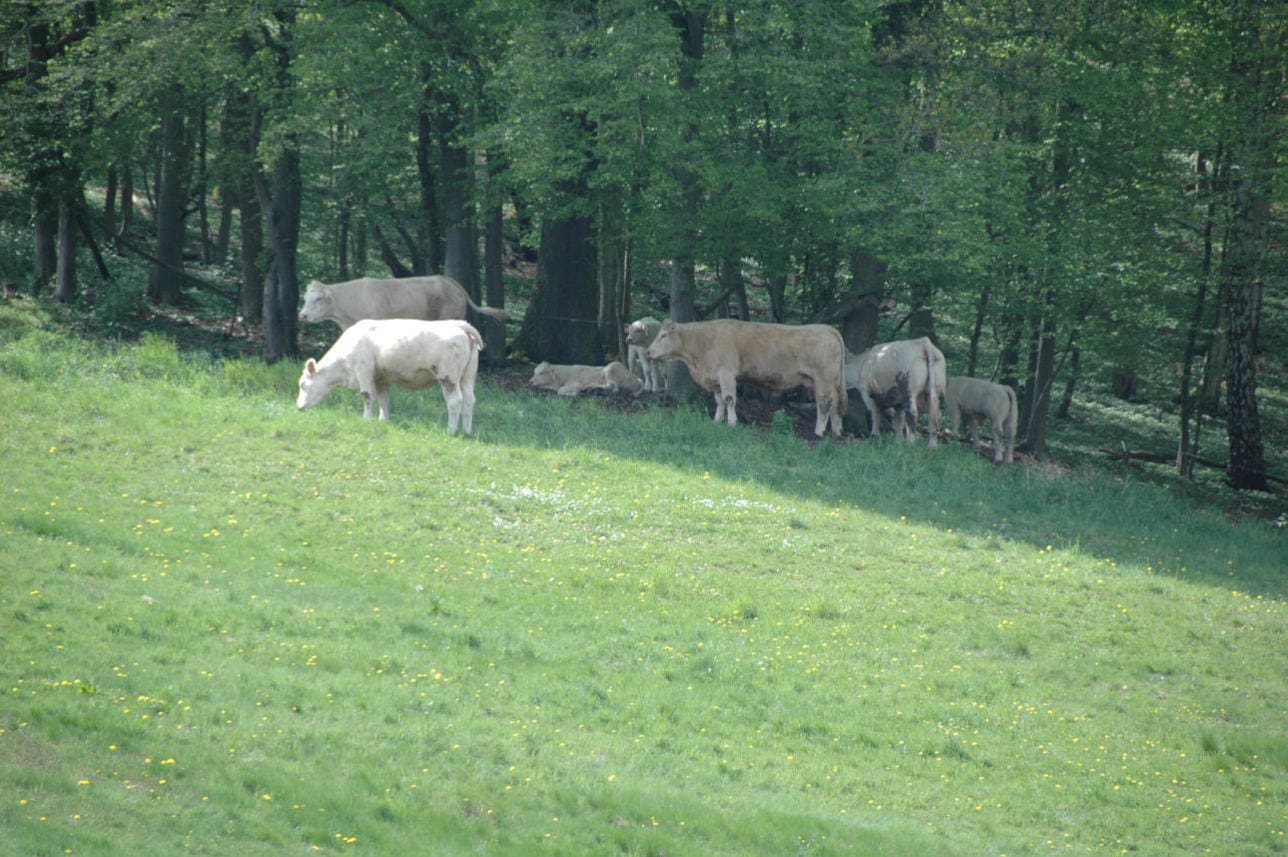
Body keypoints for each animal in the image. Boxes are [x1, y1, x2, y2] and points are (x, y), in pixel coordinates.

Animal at [294, 315, 484, 435]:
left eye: (303, 384)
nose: (299, 407)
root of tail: (458, 324)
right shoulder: (380, 378)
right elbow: (383, 399)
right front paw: (383, 421)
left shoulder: (363, 370)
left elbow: (367, 396)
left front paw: (366, 419)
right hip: (468, 377)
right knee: (469, 400)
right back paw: (467, 431)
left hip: (448, 376)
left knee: (455, 401)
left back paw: (451, 430)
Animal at [641, 319, 844, 438]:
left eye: (663, 335)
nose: (648, 352)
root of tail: (828, 329)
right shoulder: (716, 379)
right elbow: (719, 401)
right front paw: (717, 421)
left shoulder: (726, 374)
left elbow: (730, 399)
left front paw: (731, 423)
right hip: (829, 382)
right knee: (835, 404)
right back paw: (837, 431)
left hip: (823, 380)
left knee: (824, 404)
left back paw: (818, 432)